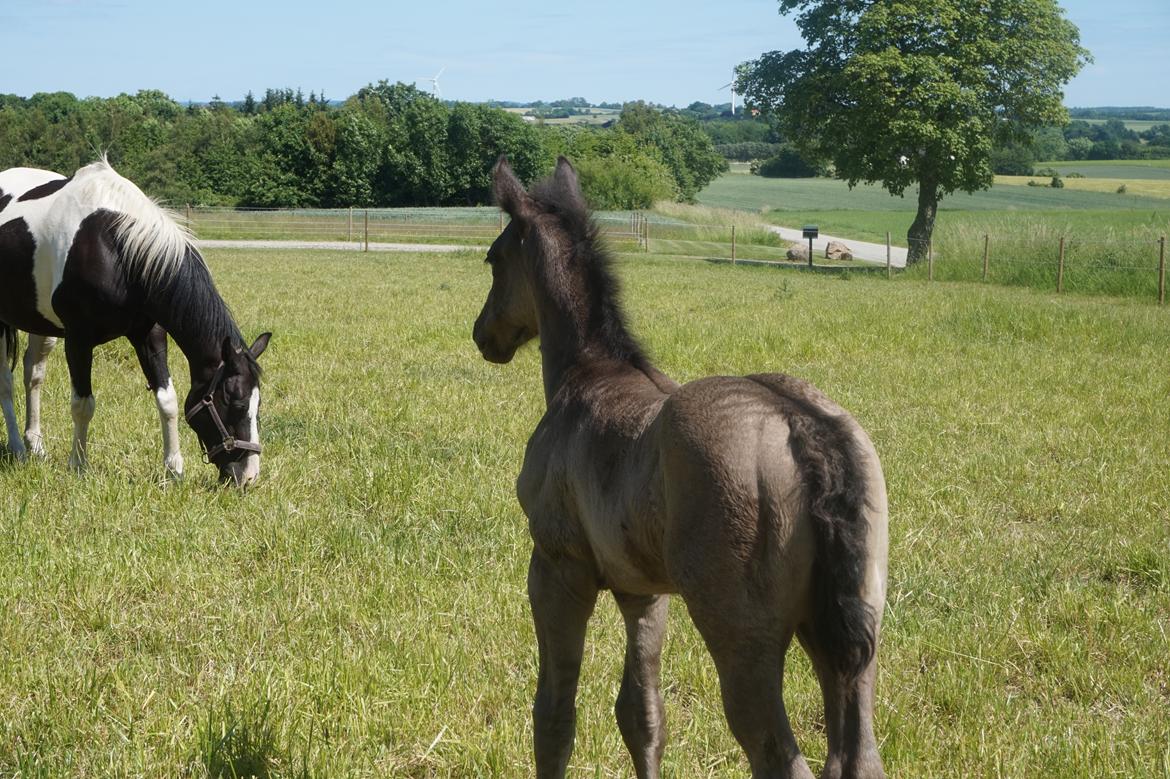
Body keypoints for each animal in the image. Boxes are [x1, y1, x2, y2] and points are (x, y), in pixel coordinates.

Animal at [0, 160, 271, 481]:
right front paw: (78, 465)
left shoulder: (149, 334)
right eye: (233, 401)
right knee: (6, 382)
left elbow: (167, 400)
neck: (112, 246)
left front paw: (174, 468)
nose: (248, 475)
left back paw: (35, 446)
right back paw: (17, 448)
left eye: (258, 403)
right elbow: (82, 404)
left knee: (33, 374)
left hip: (42, 326)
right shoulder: (78, 339)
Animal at [472, 154, 884, 771]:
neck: (586, 375)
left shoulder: (557, 566)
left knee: (778, 752)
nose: (484, 334)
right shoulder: (645, 590)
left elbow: (554, 713)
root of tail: (806, 428)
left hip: (743, 637)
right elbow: (642, 714)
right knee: (857, 753)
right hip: (847, 635)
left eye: (494, 259)